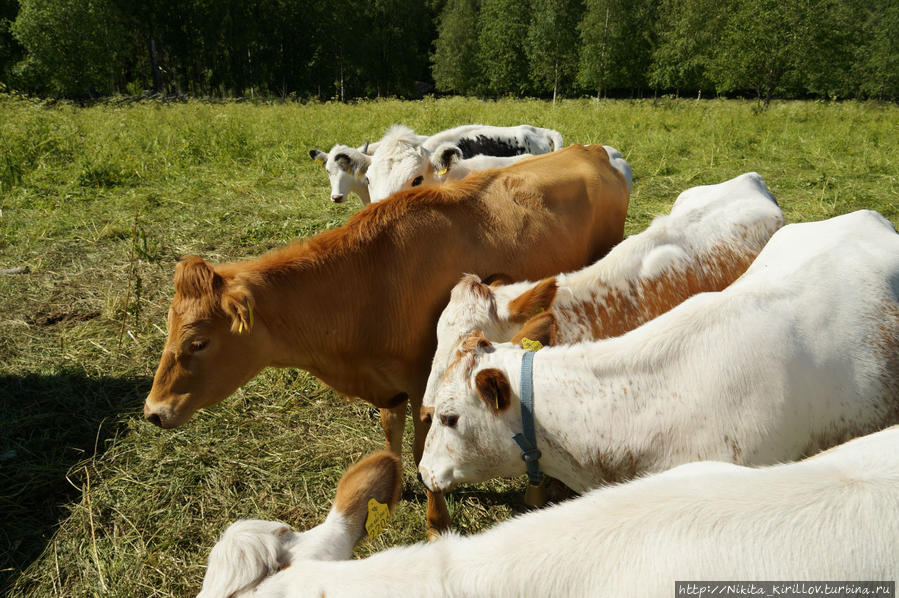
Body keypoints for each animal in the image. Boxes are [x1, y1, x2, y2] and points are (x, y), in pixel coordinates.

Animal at [144, 143, 628, 536]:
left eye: (199, 342)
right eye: (169, 328)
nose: (153, 411)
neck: (369, 281)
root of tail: (590, 149)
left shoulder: (424, 384)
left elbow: (422, 449)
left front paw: (436, 523)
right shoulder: (388, 383)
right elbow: (389, 432)